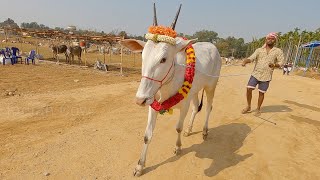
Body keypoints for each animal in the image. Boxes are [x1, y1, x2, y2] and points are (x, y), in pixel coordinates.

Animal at [119, 3, 221, 177]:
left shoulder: (184, 105)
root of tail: (213, 46)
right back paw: (189, 129)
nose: (140, 99)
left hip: (211, 86)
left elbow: (177, 127)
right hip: (195, 91)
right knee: (196, 107)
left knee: (208, 107)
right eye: (142, 56)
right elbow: (147, 136)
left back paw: (205, 131)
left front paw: (178, 147)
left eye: (163, 59)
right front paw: (140, 166)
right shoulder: (153, 104)